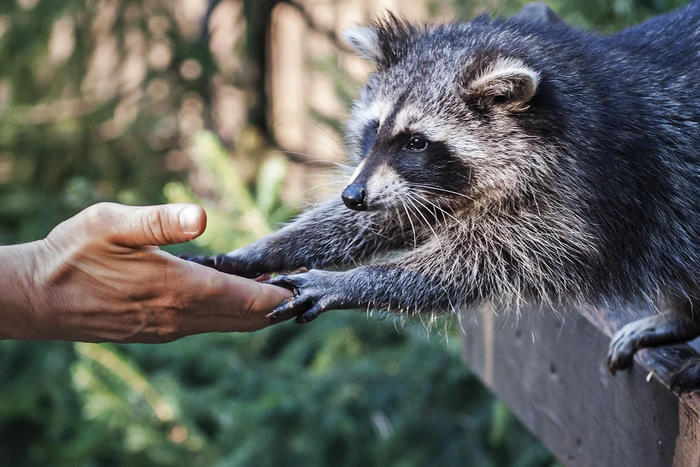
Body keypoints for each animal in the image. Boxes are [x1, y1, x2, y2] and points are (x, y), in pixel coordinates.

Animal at [185, 2, 700, 392]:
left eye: (416, 141)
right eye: (375, 129)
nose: (352, 195)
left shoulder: (585, 193)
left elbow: (489, 259)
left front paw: (351, 281)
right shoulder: (422, 185)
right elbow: (396, 215)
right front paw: (264, 249)